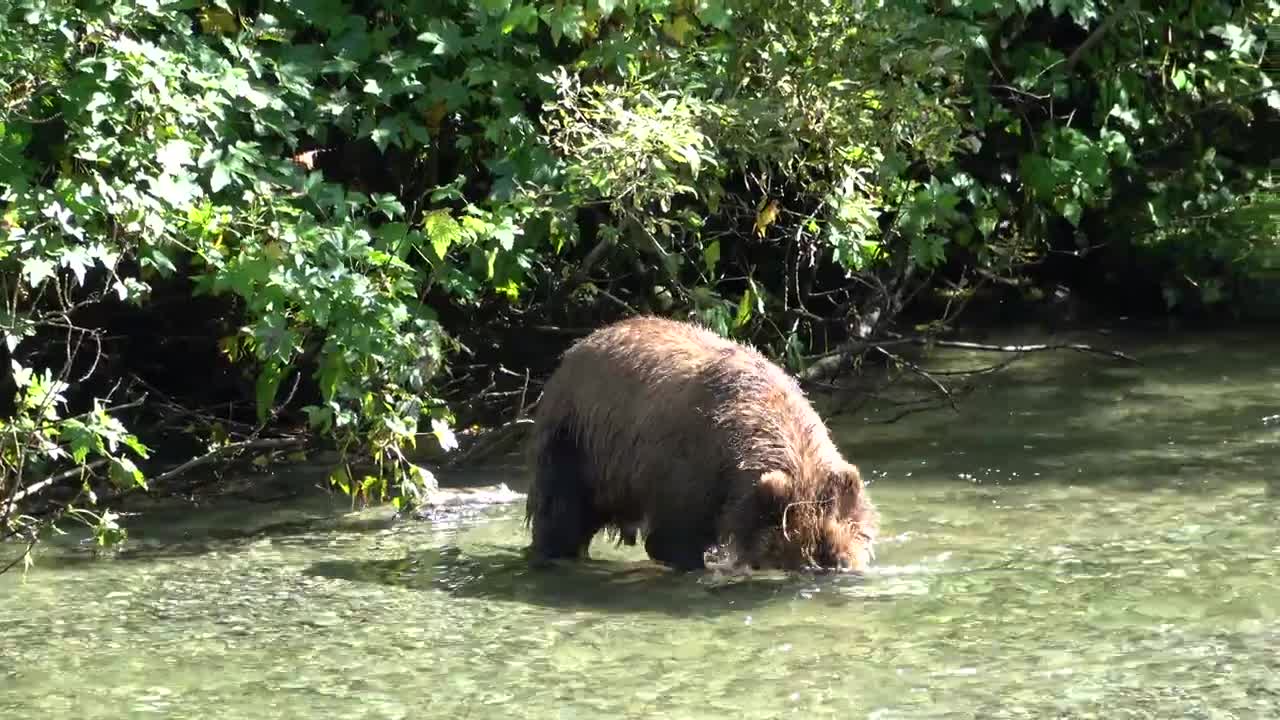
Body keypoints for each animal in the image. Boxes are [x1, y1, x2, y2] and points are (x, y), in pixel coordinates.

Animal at [524, 313, 875, 571]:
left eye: (840, 559)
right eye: (790, 559)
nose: (821, 565)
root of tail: (575, 347)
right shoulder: (687, 469)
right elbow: (672, 540)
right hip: (576, 439)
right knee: (561, 513)